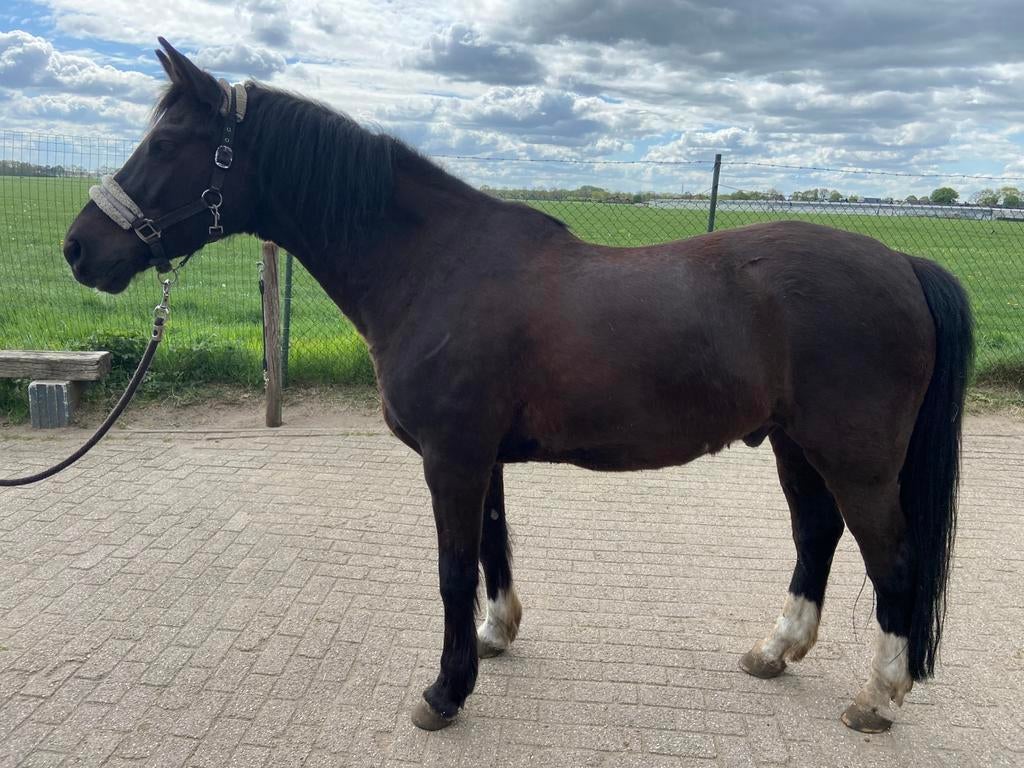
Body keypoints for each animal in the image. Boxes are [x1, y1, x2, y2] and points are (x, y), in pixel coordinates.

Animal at [63, 39, 973, 733]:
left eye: (166, 146)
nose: (79, 249)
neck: (436, 264)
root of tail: (903, 262)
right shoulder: (481, 458)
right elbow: (493, 548)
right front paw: (495, 638)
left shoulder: (451, 458)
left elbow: (450, 569)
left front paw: (444, 692)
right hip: (794, 446)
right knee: (816, 536)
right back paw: (775, 650)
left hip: (855, 460)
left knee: (892, 561)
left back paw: (878, 698)